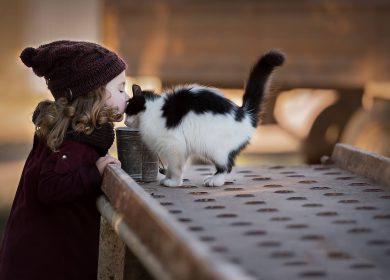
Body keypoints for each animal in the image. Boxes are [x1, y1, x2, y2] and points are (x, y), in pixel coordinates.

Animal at [125, 50, 284, 186]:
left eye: (128, 110)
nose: (125, 121)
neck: (152, 110)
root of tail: (244, 113)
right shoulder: (182, 148)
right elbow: (174, 167)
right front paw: (168, 179)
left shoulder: (174, 145)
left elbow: (175, 167)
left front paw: (173, 182)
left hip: (214, 148)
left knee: (226, 166)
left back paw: (215, 180)